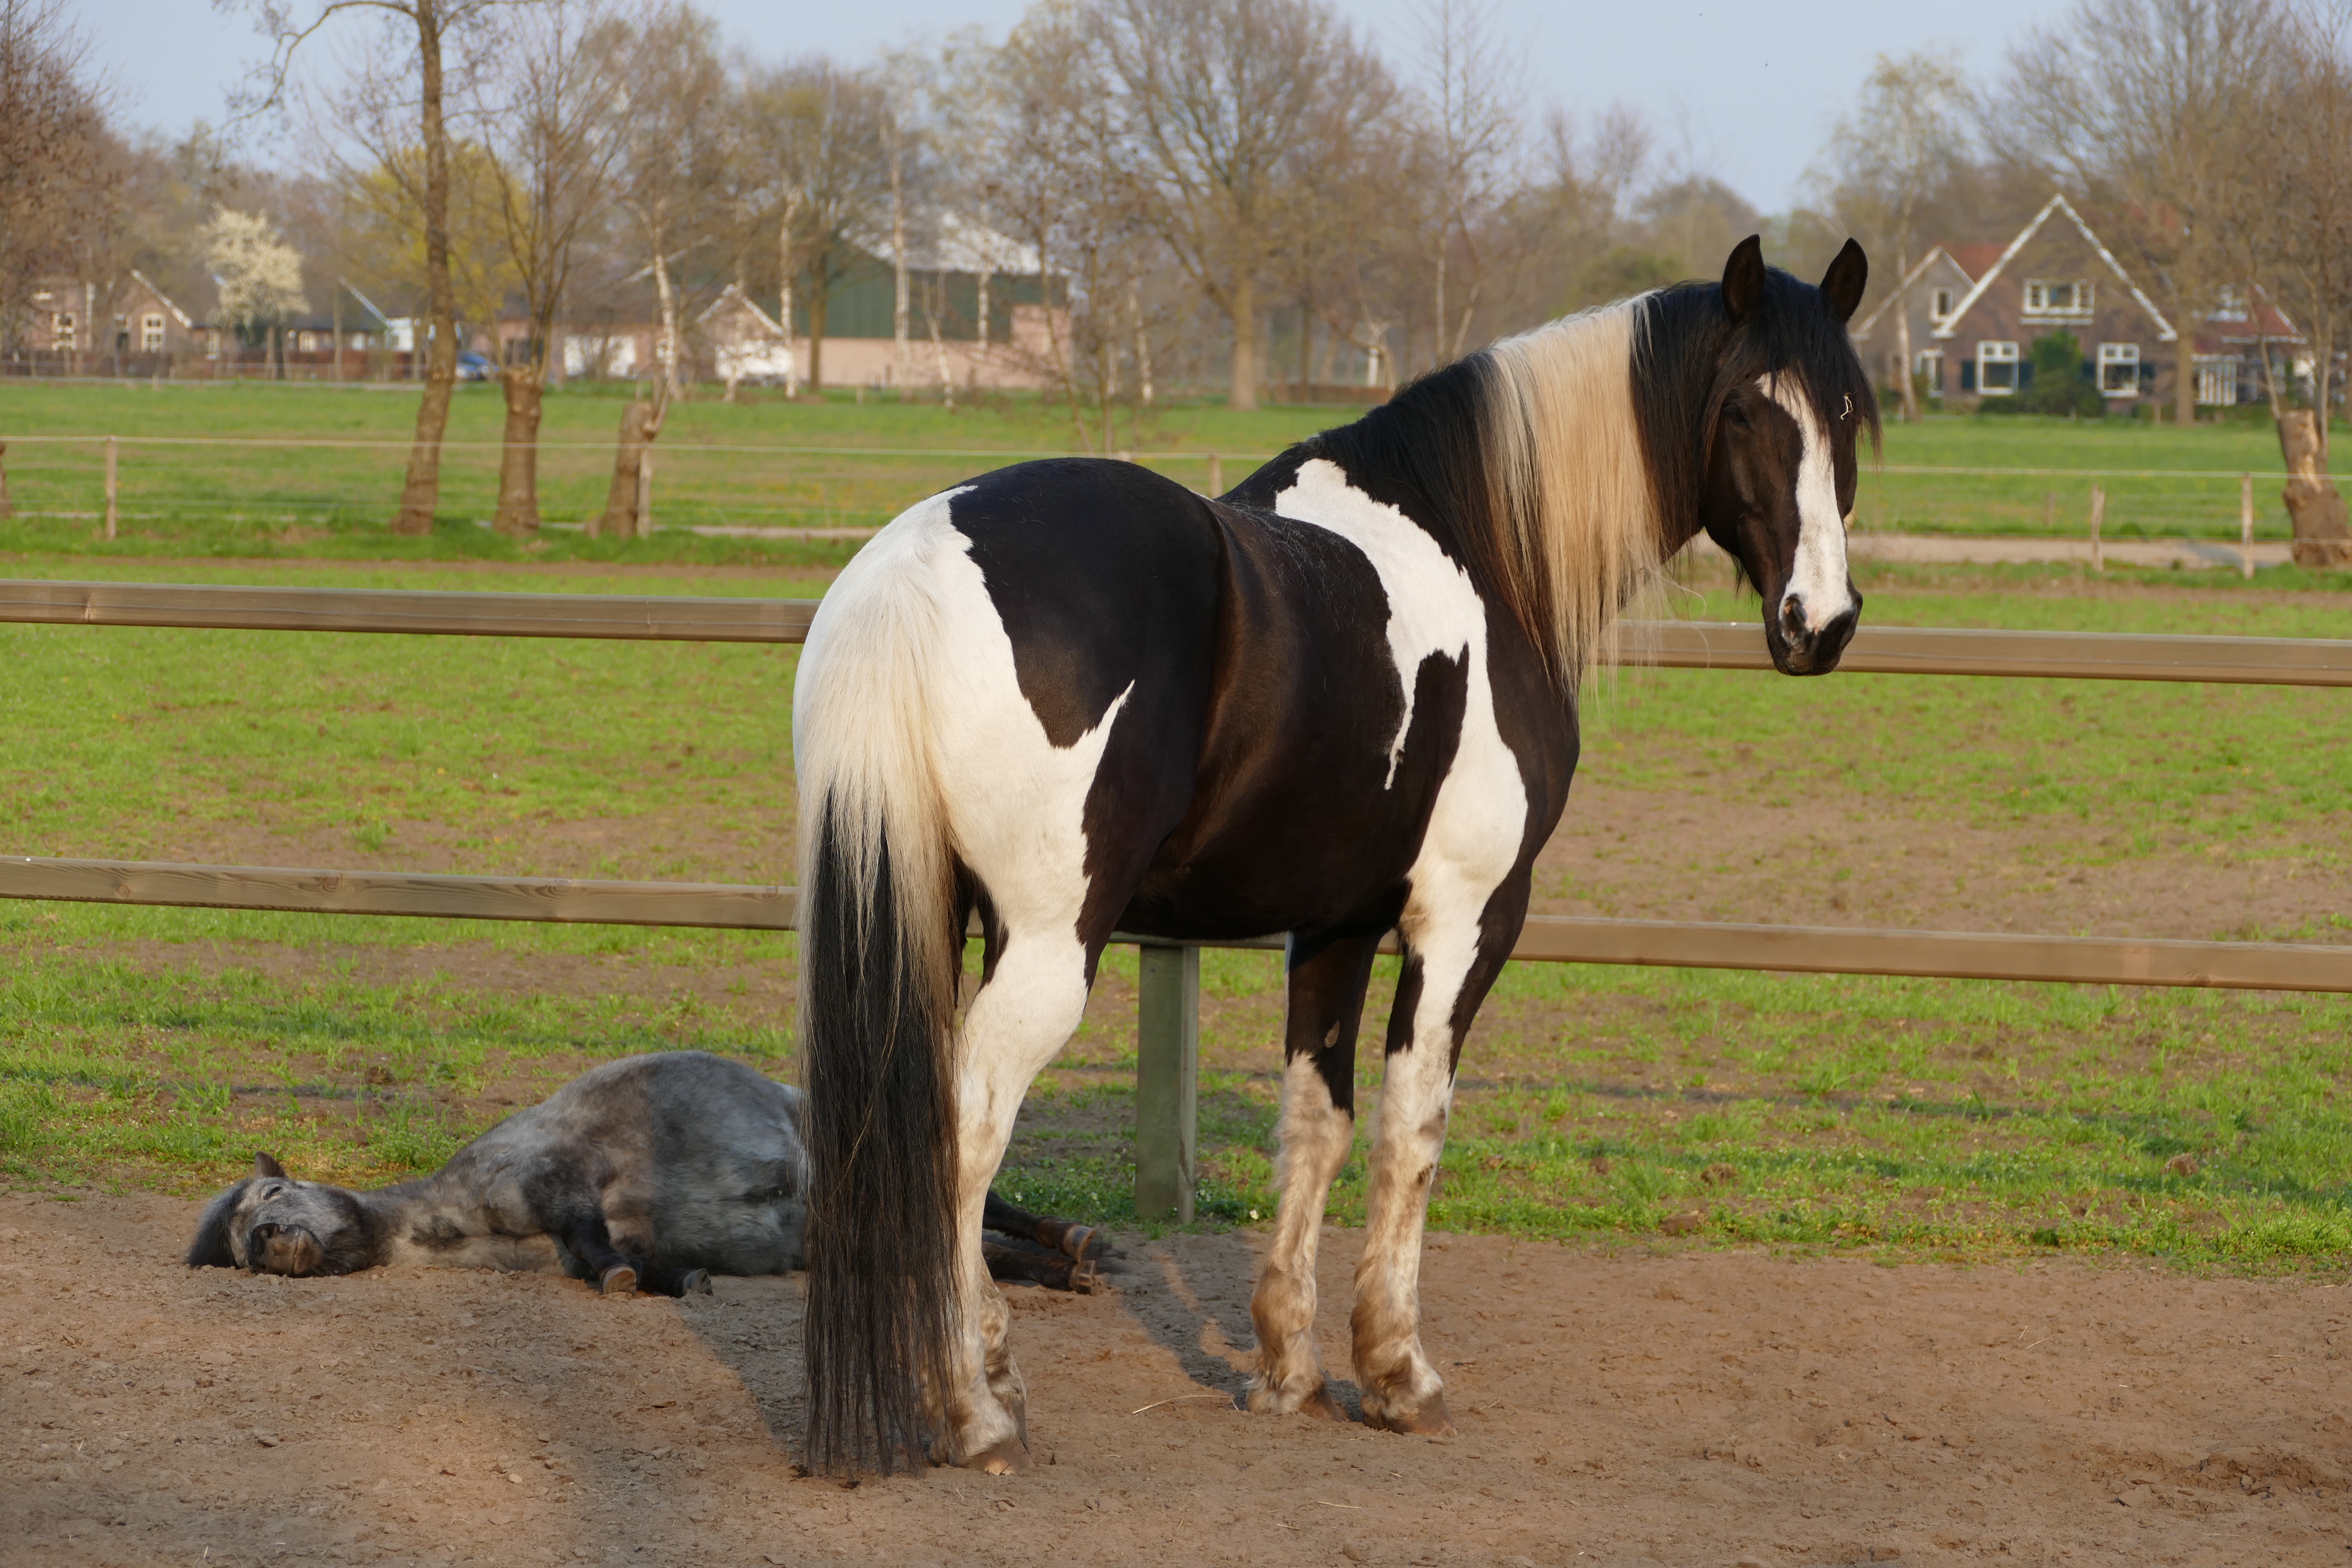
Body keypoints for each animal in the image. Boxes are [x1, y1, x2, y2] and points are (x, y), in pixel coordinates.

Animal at [183, 1053, 1100, 1298]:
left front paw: (626, 1279)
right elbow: (641, 1263)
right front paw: (674, 1281)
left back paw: (1079, 1239)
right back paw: (1068, 1267)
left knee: (994, 1205)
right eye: (241, 1244)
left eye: (271, 1193)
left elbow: (597, 1244)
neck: (459, 1216)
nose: (273, 1238)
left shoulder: (560, 1179)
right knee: (978, 1246)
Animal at [790, 233, 1872, 1476]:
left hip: (932, 917)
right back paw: (973, 1410)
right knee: (964, 1131)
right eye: (1745, 409)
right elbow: (1413, 1128)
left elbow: (1316, 1123)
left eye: (1849, 410)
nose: (1819, 623)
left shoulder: (1334, 922)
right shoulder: (1465, 919)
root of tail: (917, 565)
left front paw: (1286, 1369)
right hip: (1048, 946)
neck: (1481, 549)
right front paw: (1397, 1373)